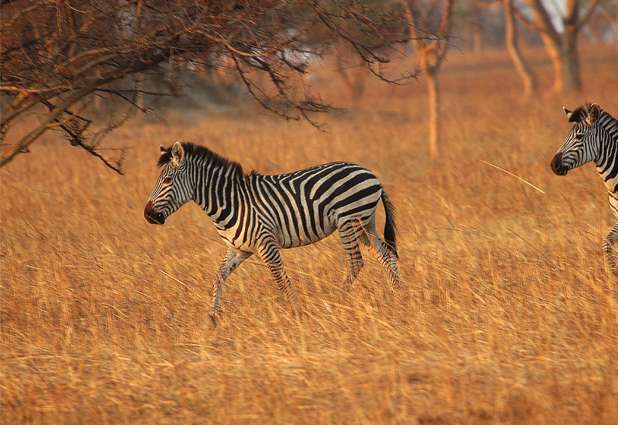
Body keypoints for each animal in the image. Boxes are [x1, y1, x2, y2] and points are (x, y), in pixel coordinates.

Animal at [143, 141, 400, 320]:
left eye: (167, 181)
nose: (147, 215)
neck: (232, 201)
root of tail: (370, 174)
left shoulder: (266, 243)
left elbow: (281, 281)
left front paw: (297, 315)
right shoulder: (238, 249)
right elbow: (218, 277)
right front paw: (212, 318)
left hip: (349, 221)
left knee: (356, 261)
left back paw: (337, 298)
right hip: (366, 223)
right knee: (386, 255)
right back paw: (399, 295)